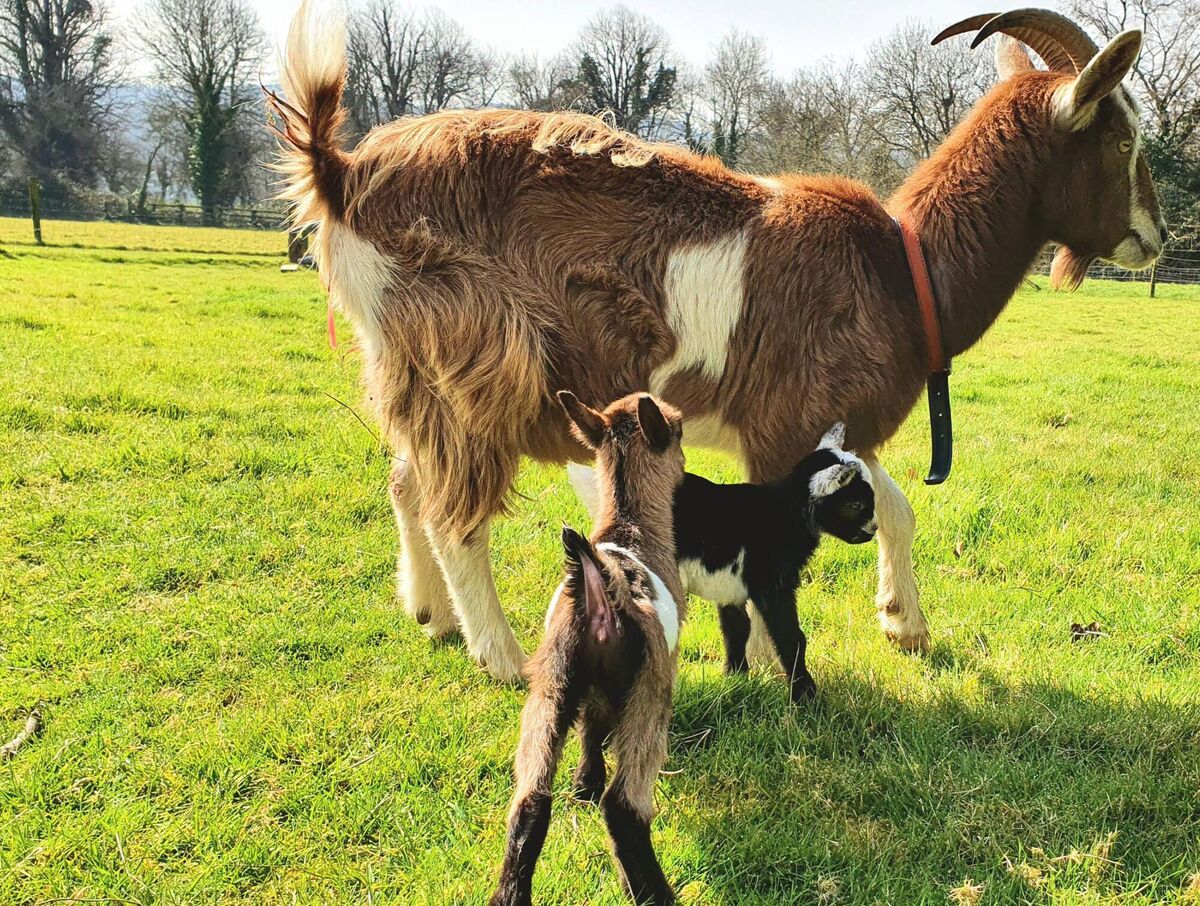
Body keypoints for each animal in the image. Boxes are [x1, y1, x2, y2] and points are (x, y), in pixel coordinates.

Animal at [491, 391, 684, 906]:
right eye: (680, 429)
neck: (628, 530)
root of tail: (601, 584)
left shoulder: (586, 687)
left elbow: (591, 730)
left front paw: (583, 783)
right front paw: (590, 784)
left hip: (551, 681)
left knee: (531, 798)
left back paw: (509, 892)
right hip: (649, 691)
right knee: (624, 805)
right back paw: (654, 891)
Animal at [569, 423, 877, 703]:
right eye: (856, 506)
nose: (873, 530)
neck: (788, 511)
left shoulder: (730, 584)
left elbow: (736, 628)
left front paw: (736, 679)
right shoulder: (773, 583)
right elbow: (791, 637)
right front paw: (806, 696)